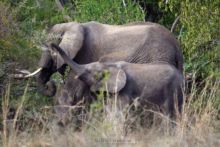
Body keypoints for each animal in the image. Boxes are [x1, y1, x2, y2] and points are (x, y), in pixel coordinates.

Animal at [34, 21, 182, 96]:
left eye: (49, 48)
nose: (50, 85)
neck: (73, 25)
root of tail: (176, 44)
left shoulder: (85, 54)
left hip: (157, 55)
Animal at [50, 43, 183, 125]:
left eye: (90, 72)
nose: (52, 44)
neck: (109, 65)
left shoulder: (125, 90)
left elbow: (118, 113)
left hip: (174, 91)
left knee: (169, 115)